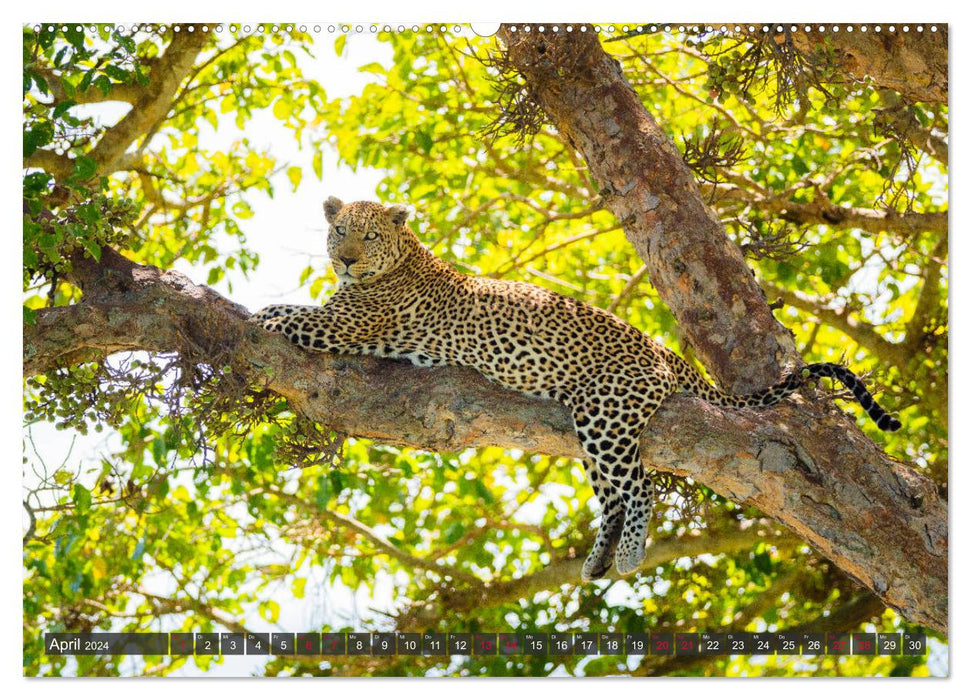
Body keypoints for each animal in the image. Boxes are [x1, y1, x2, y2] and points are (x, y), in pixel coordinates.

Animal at [252, 197, 904, 580]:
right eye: (339, 232)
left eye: (366, 237)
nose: (346, 259)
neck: (401, 259)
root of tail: (666, 351)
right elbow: (291, 308)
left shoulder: (343, 325)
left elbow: (286, 314)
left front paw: (255, 315)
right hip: (590, 430)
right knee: (615, 494)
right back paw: (597, 561)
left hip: (605, 415)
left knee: (640, 488)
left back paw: (630, 554)